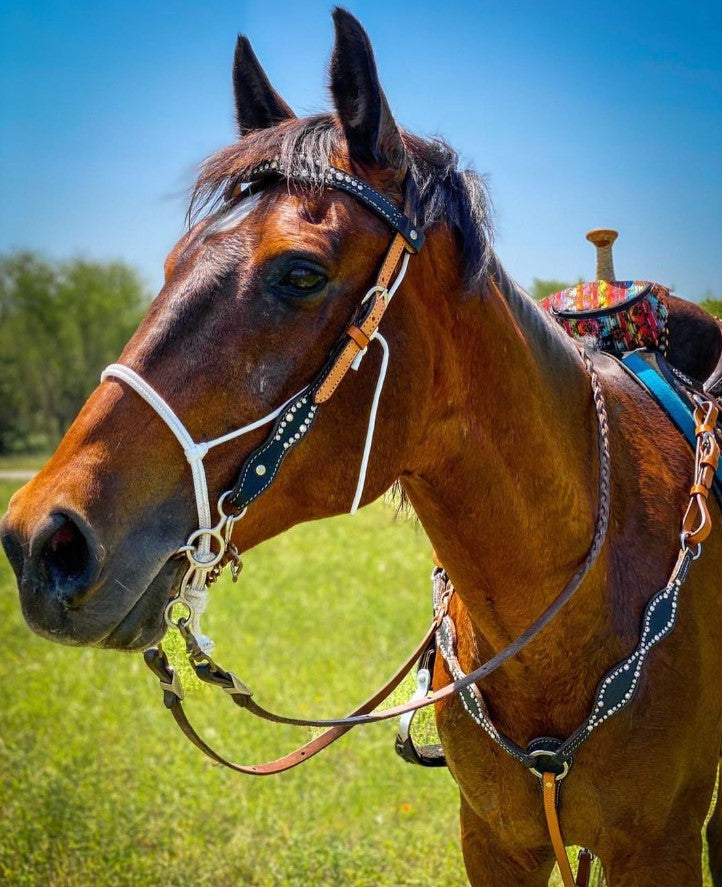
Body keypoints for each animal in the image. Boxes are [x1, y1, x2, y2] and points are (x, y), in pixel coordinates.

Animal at [1, 8, 720, 887]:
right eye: (172, 263)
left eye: (300, 273)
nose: (41, 540)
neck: (581, 588)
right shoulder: (494, 840)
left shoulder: (662, 845)